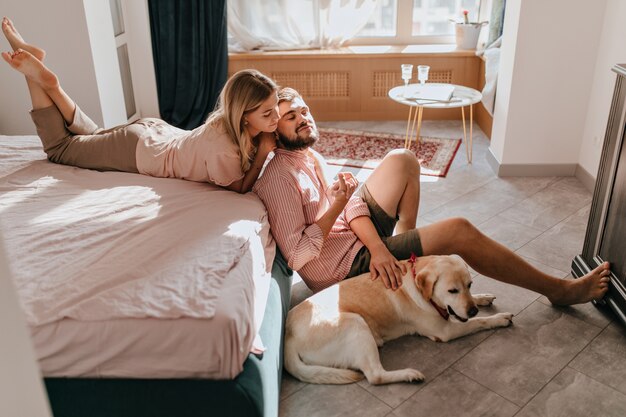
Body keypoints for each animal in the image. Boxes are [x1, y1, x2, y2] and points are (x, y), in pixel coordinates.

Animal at [284, 254, 512, 384]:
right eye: (452, 291)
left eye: (469, 285)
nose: (472, 311)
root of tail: (287, 337)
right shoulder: (444, 331)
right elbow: (478, 323)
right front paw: (499, 318)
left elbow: (474, 303)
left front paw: (482, 298)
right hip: (355, 323)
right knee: (375, 376)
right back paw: (409, 374)